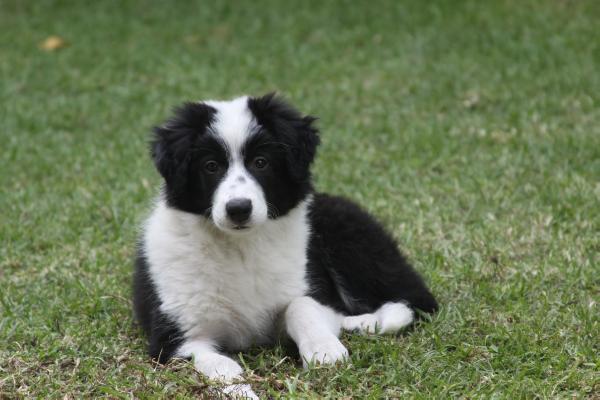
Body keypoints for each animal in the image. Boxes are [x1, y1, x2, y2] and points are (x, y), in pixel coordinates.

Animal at [134, 93, 438, 396]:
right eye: (210, 166)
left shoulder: (312, 290)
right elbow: (220, 366)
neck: (241, 246)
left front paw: (323, 349)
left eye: (261, 162)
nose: (239, 209)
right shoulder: (175, 339)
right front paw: (241, 392)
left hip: (351, 241)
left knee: (417, 300)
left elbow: (301, 305)